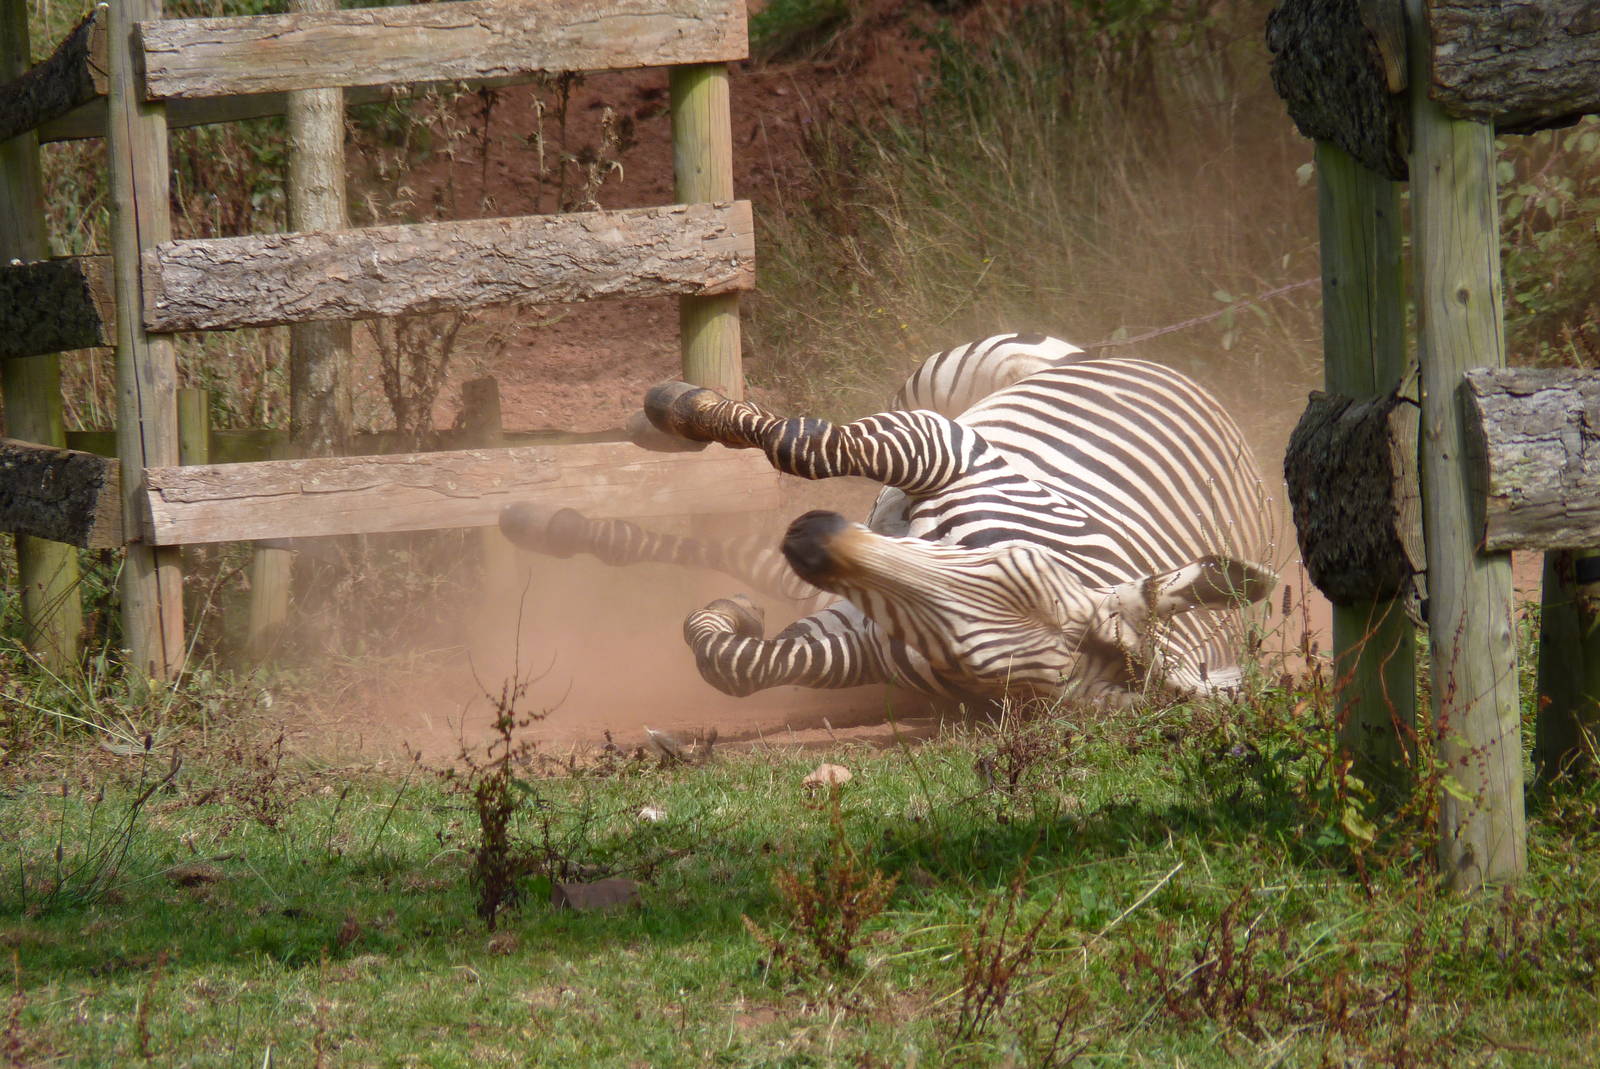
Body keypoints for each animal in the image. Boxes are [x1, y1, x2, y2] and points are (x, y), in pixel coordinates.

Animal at [499, 333, 1276, 706]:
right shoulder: (947, 447)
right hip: (961, 375)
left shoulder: (858, 642)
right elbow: (808, 445)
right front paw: (679, 405)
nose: (812, 537)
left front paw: (730, 618)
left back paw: (549, 523)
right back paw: (653, 428)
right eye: (1010, 565)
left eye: (959, 651)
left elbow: (742, 665)